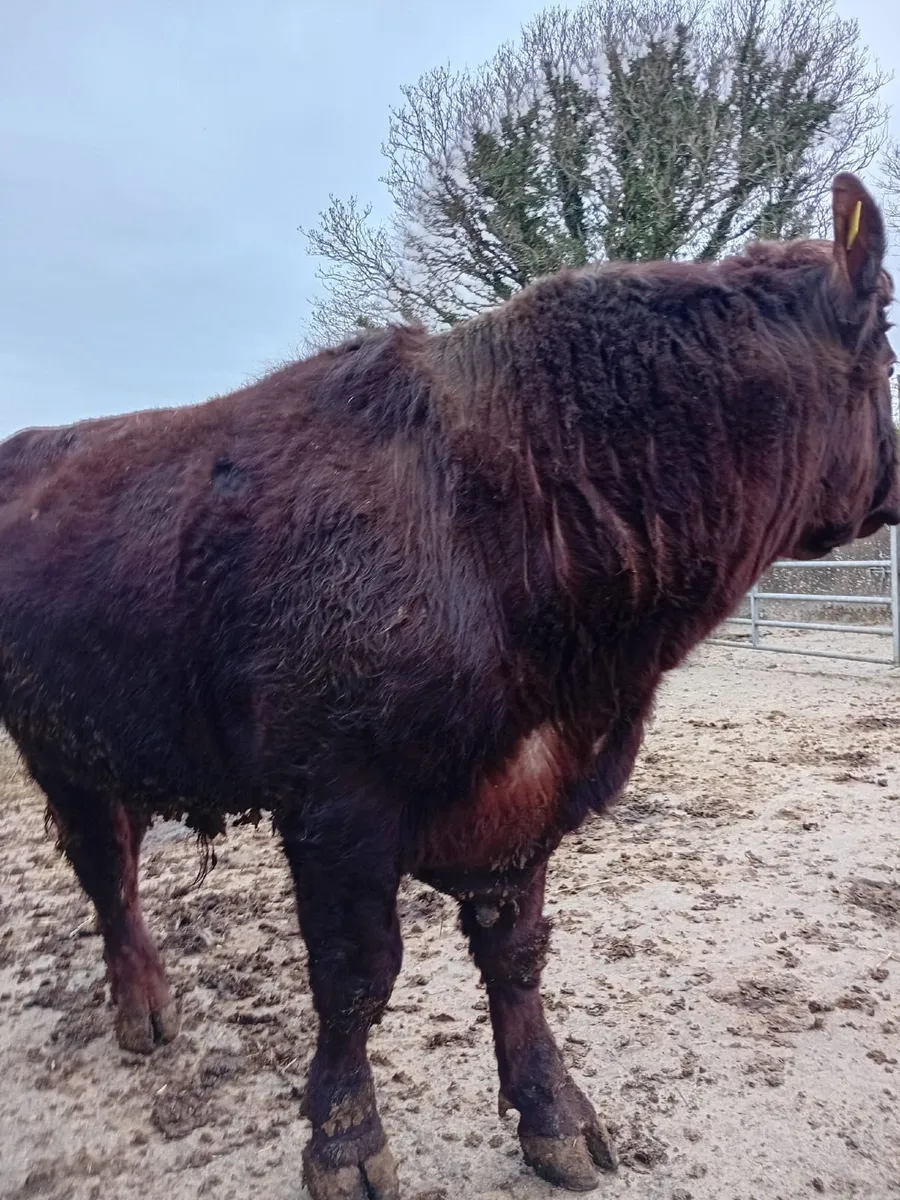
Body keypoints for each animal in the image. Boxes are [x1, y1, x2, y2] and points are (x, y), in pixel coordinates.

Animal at [0, 172, 897, 1199]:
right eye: (890, 345)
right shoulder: (337, 807)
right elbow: (355, 977)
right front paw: (346, 1144)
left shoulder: (528, 801)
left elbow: (516, 960)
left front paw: (557, 1119)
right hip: (55, 741)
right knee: (105, 868)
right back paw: (144, 1010)